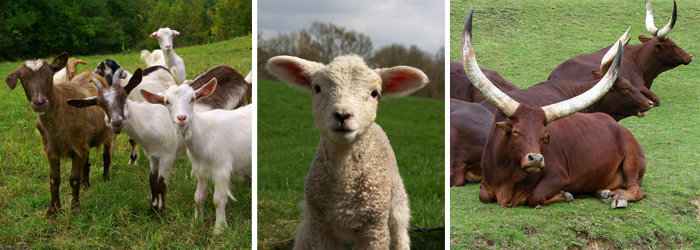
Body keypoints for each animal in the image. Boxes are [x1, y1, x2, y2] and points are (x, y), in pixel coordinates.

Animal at [3, 52, 113, 217]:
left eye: (50, 75)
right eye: (22, 79)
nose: (39, 102)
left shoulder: (77, 145)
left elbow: (74, 178)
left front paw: (75, 208)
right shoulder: (51, 148)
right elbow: (54, 179)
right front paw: (53, 209)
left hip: (107, 132)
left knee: (106, 155)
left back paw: (106, 178)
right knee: (87, 161)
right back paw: (86, 184)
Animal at [141, 79, 253, 233]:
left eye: (193, 99)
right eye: (167, 102)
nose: (182, 118)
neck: (205, 133)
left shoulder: (221, 168)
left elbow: (218, 200)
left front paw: (219, 230)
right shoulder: (202, 169)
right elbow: (198, 197)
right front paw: (196, 223)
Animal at [266, 53, 426, 249]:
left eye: (374, 93)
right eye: (317, 88)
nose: (342, 115)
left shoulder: (375, 229)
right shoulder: (319, 225)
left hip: (396, 205)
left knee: (400, 234)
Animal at [462, 6, 648, 209]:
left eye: (544, 136)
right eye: (516, 132)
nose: (536, 159)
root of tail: (621, 128)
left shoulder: (558, 177)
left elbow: (535, 198)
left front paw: (565, 195)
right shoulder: (486, 184)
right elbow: (484, 196)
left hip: (632, 158)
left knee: (635, 190)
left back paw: (618, 198)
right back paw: (603, 192)